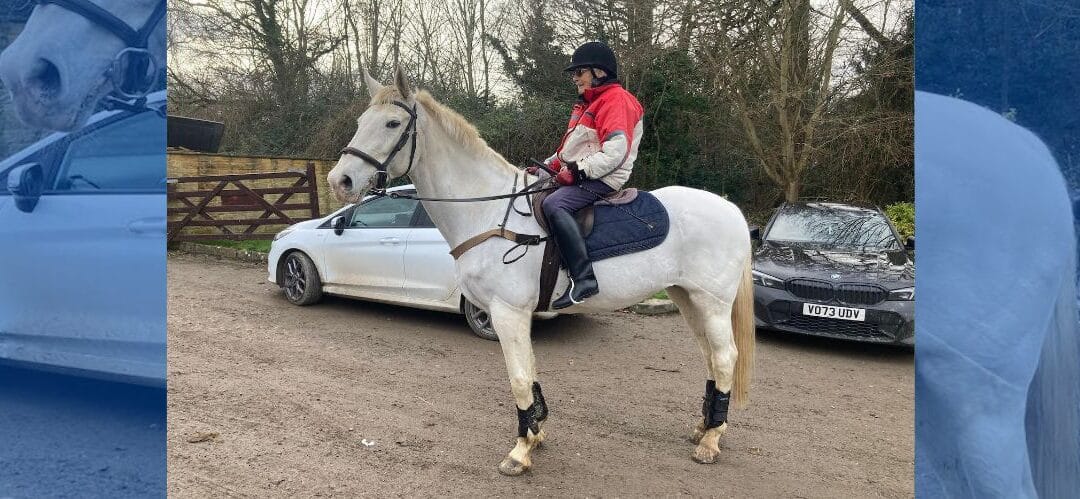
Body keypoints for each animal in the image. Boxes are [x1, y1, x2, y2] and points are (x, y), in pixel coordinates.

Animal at [324, 68, 756, 473]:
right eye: (362, 120)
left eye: (392, 124)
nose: (339, 180)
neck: (488, 211)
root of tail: (731, 209)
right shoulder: (515, 315)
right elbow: (529, 373)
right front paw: (536, 432)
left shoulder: (507, 312)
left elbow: (518, 377)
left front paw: (520, 450)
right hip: (687, 299)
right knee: (711, 357)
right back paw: (703, 427)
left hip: (712, 303)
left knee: (725, 357)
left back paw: (711, 441)